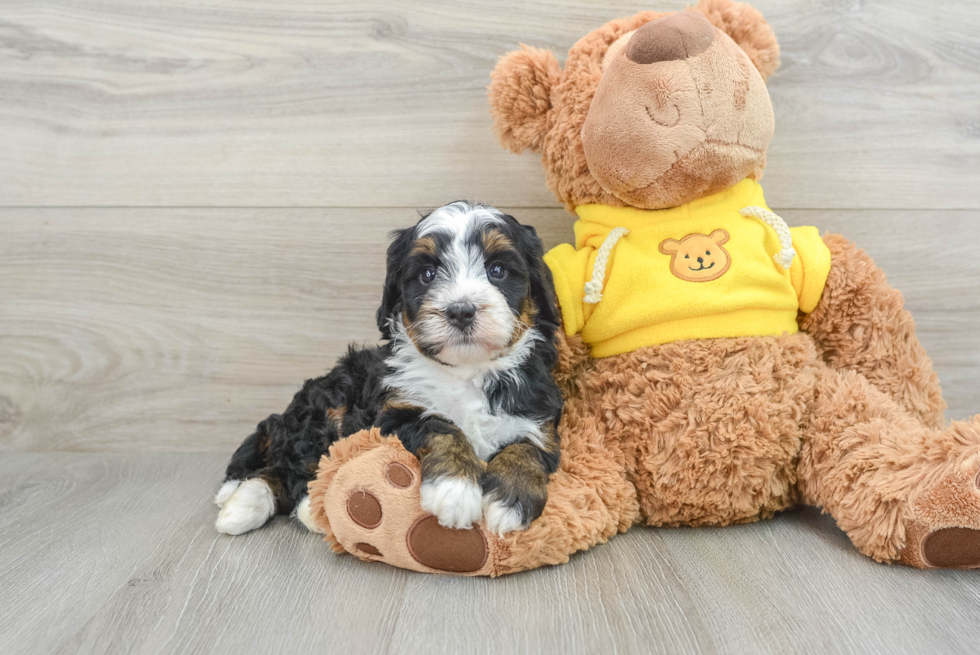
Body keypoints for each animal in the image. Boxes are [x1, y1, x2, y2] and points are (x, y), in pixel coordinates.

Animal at [217, 201, 564, 540]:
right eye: (427, 274)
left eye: (498, 271)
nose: (461, 311)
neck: (467, 370)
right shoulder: (394, 414)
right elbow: (440, 426)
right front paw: (455, 490)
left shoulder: (539, 419)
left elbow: (527, 448)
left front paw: (509, 501)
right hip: (328, 408)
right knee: (288, 468)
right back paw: (256, 505)